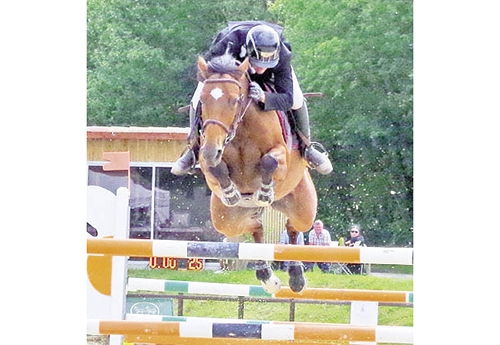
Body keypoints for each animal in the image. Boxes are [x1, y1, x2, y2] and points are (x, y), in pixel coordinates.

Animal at [195, 53, 316, 292]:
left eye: (234, 100)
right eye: (202, 100)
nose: (212, 150)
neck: (241, 130)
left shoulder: (281, 155)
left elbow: (269, 161)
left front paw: (265, 192)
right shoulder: (206, 158)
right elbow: (214, 168)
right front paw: (231, 193)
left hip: (304, 209)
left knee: (293, 227)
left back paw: (296, 276)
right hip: (226, 221)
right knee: (256, 228)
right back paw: (266, 275)